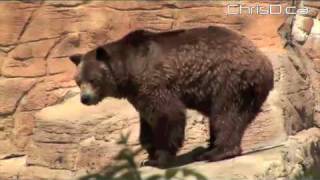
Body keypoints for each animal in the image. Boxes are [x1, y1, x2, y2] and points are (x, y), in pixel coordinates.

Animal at [69, 25, 274, 167]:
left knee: (226, 114)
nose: (84, 98)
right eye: (78, 81)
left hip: (229, 79)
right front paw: (148, 154)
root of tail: (265, 60)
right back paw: (210, 148)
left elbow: (167, 115)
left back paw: (215, 152)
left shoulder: (154, 82)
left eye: (93, 79)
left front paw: (158, 158)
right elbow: (146, 122)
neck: (128, 71)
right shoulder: (137, 92)